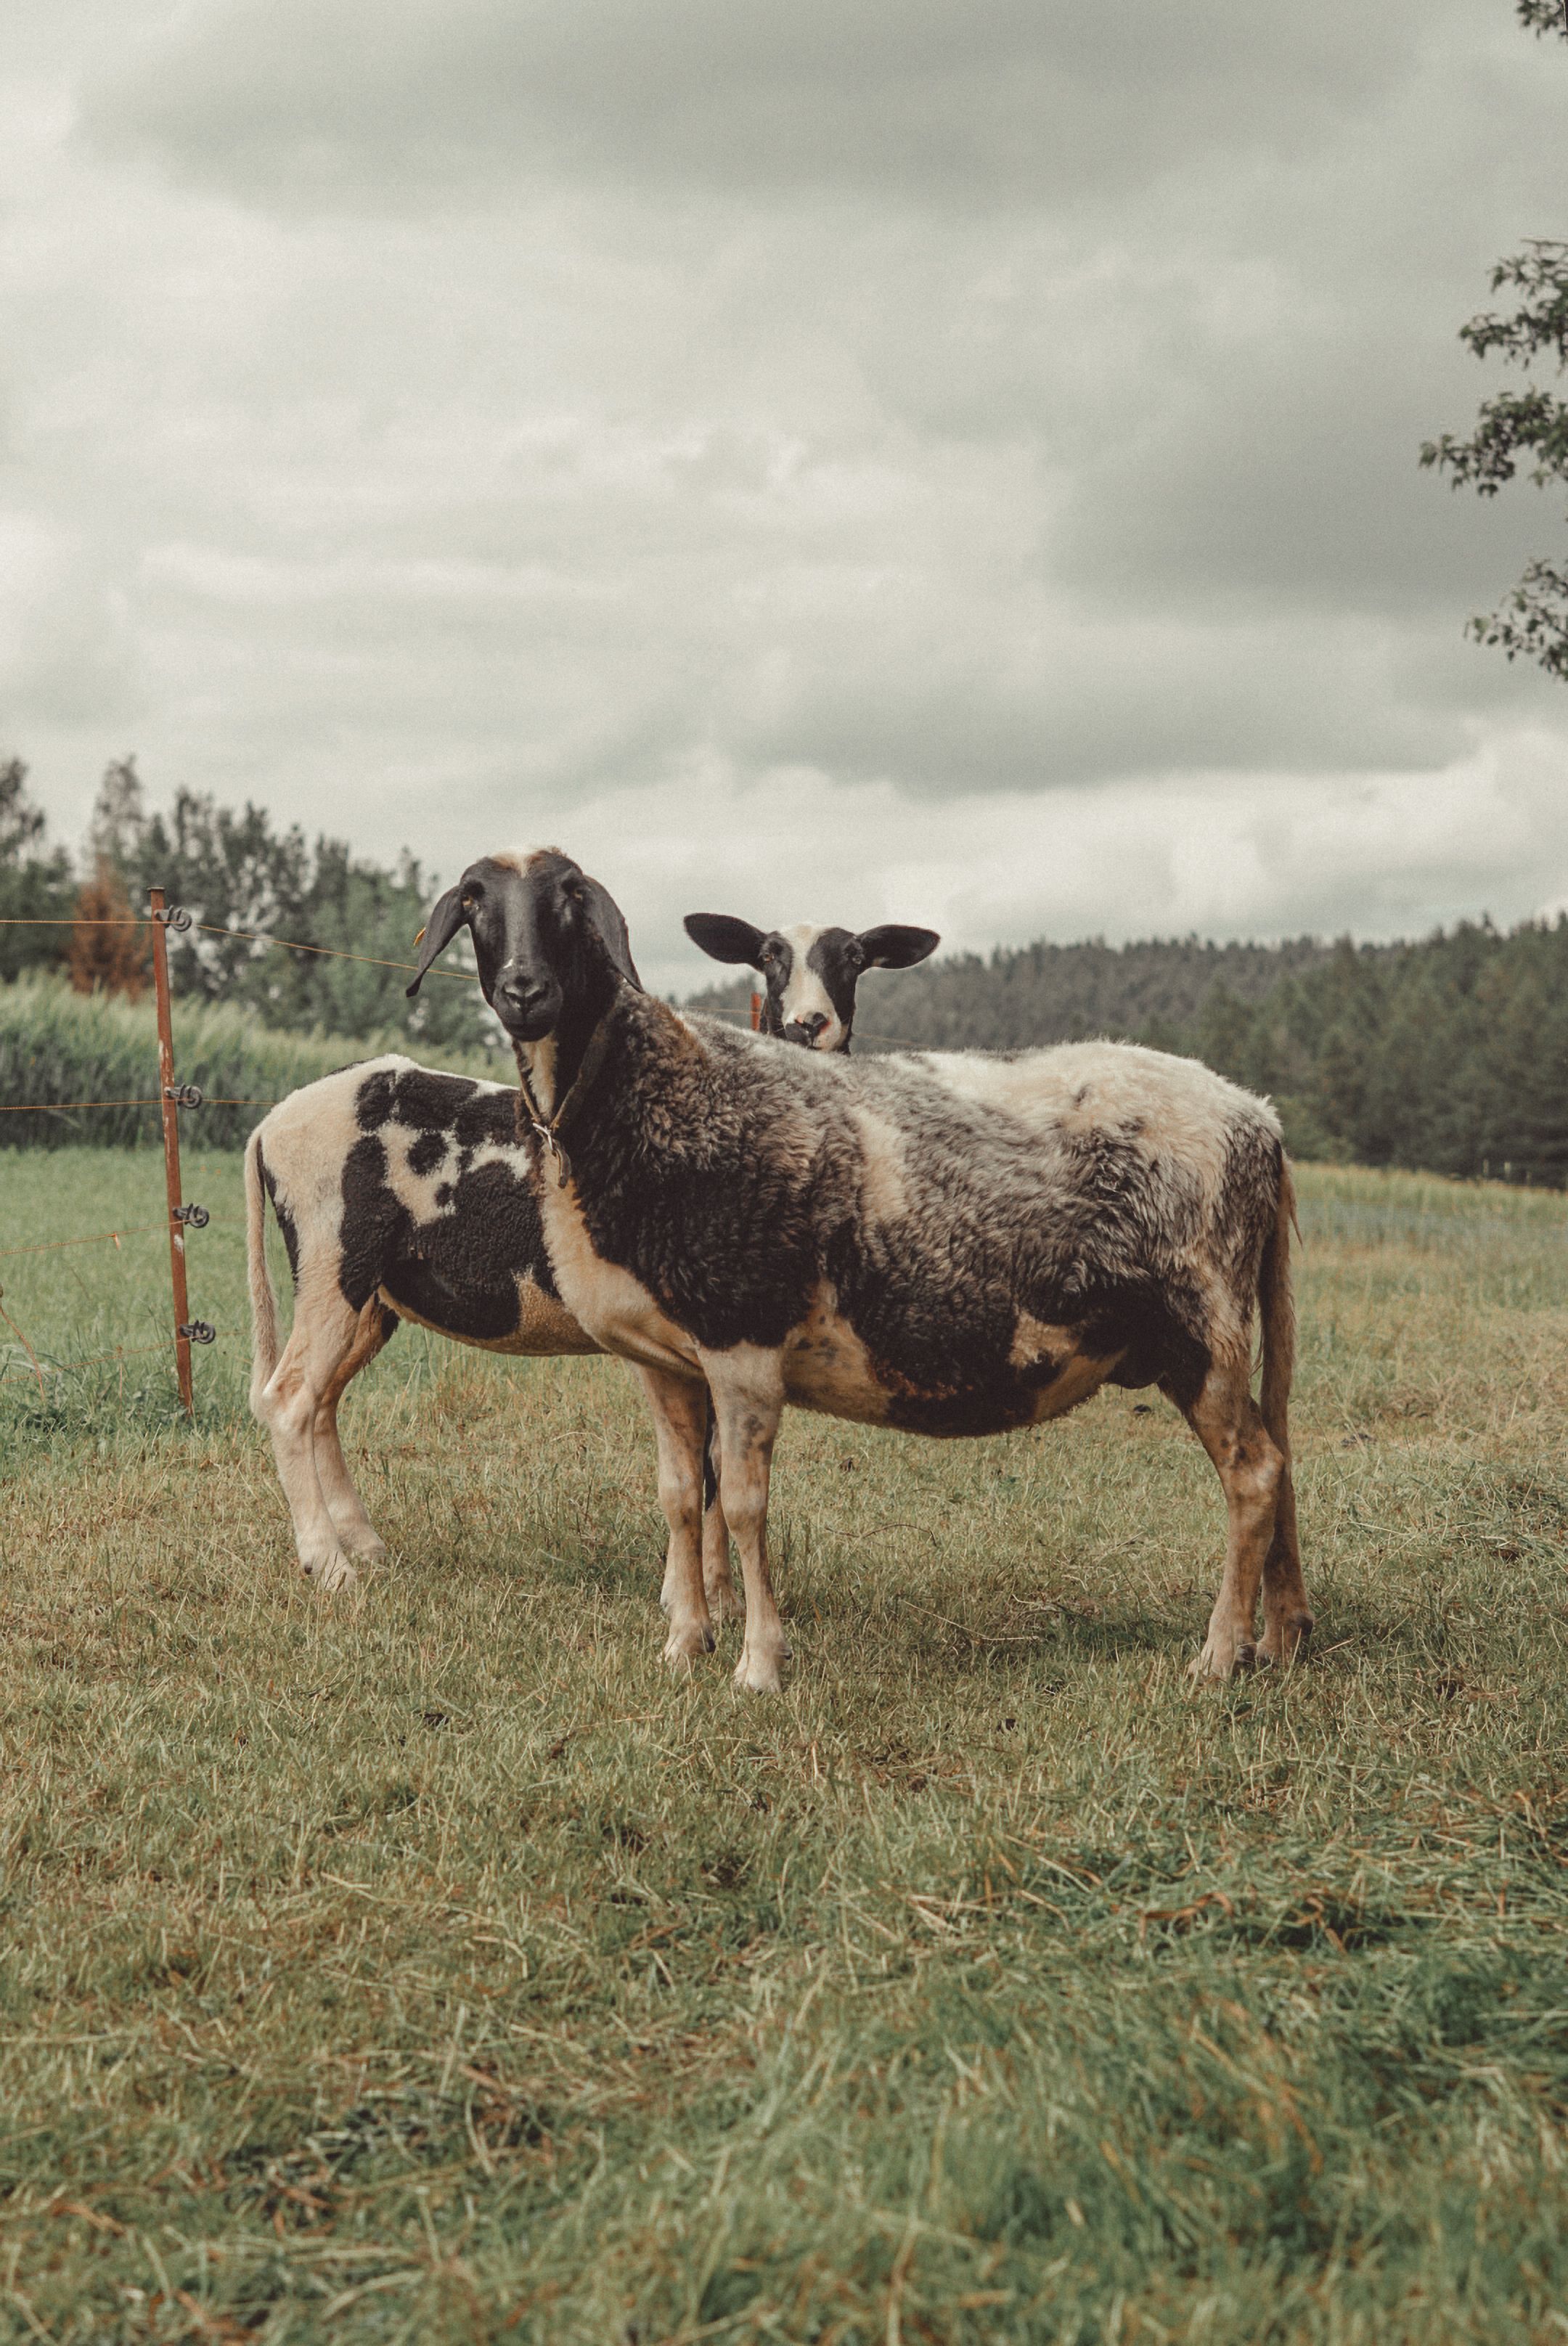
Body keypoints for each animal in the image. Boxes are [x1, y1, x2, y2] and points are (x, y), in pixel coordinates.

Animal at [407, 847, 1310, 1692]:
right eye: (475, 901)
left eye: (571, 898)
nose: (524, 989)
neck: (641, 1095)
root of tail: (1260, 1121)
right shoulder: (662, 1357)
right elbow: (679, 1498)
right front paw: (684, 1645)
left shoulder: (745, 1338)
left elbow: (744, 1506)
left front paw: (758, 1664)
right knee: (1279, 1460)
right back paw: (1279, 1639)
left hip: (1204, 1323)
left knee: (1253, 1475)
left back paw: (1217, 1656)